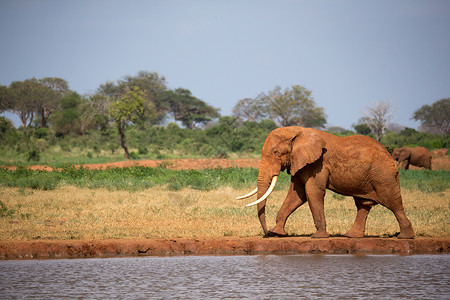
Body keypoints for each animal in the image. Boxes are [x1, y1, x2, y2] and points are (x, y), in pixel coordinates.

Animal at [236, 126, 414, 239]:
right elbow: (297, 194)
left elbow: (312, 192)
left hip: (383, 176)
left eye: (275, 152)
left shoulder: (317, 164)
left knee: (394, 204)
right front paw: (277, 233)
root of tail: (391, 158)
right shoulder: (301, 162)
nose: (266, 233)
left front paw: (318, 237)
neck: (298, 132)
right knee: (363, 205)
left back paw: (405, 237)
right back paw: (351, 236)